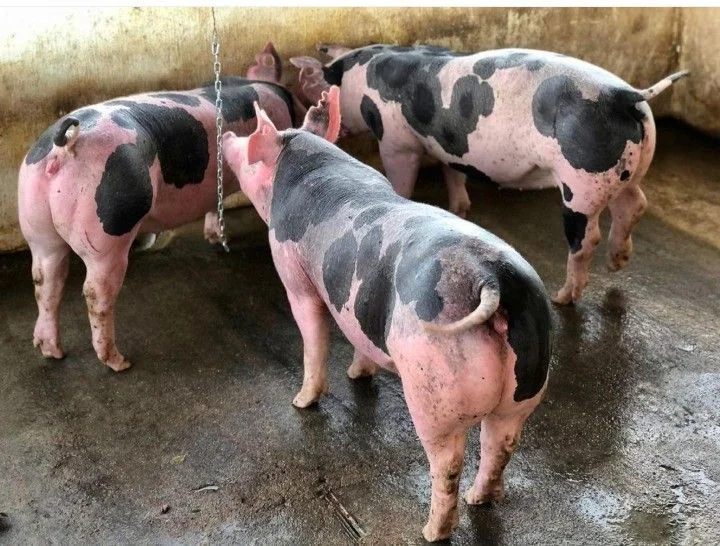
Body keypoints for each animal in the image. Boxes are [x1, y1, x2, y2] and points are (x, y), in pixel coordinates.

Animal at [17, 43, 305, 371]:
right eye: (297, 97)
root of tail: (63, 146)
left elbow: (214, 202)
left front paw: (213, 238)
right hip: (109, 228)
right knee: (95, 292)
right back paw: (119, 362)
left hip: (36, 222)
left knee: (45, 279)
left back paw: (50, 350)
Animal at [222, 87, 552, 542]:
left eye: (249, 141)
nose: (224, 137)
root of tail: (491, 279)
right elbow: (360, 337)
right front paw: (357, 375)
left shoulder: (293, 270)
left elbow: (313, 334)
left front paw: (302, 401)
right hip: (526, 387)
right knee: (501, 444)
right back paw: (478, 500)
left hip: (433, 393)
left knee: (447, 462)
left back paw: (431, 531)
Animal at [290, 44, 689, 305]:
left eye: (318, 90)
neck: (358, 76)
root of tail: (627, 94)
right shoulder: (449, 146)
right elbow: (453, 173)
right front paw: (460, 209)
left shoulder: (397, 140)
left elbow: (402, 175)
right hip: (628, 169)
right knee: (635, 204)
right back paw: (617, 261)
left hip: (581, 182)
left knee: (586, 237)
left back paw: (563, 297)